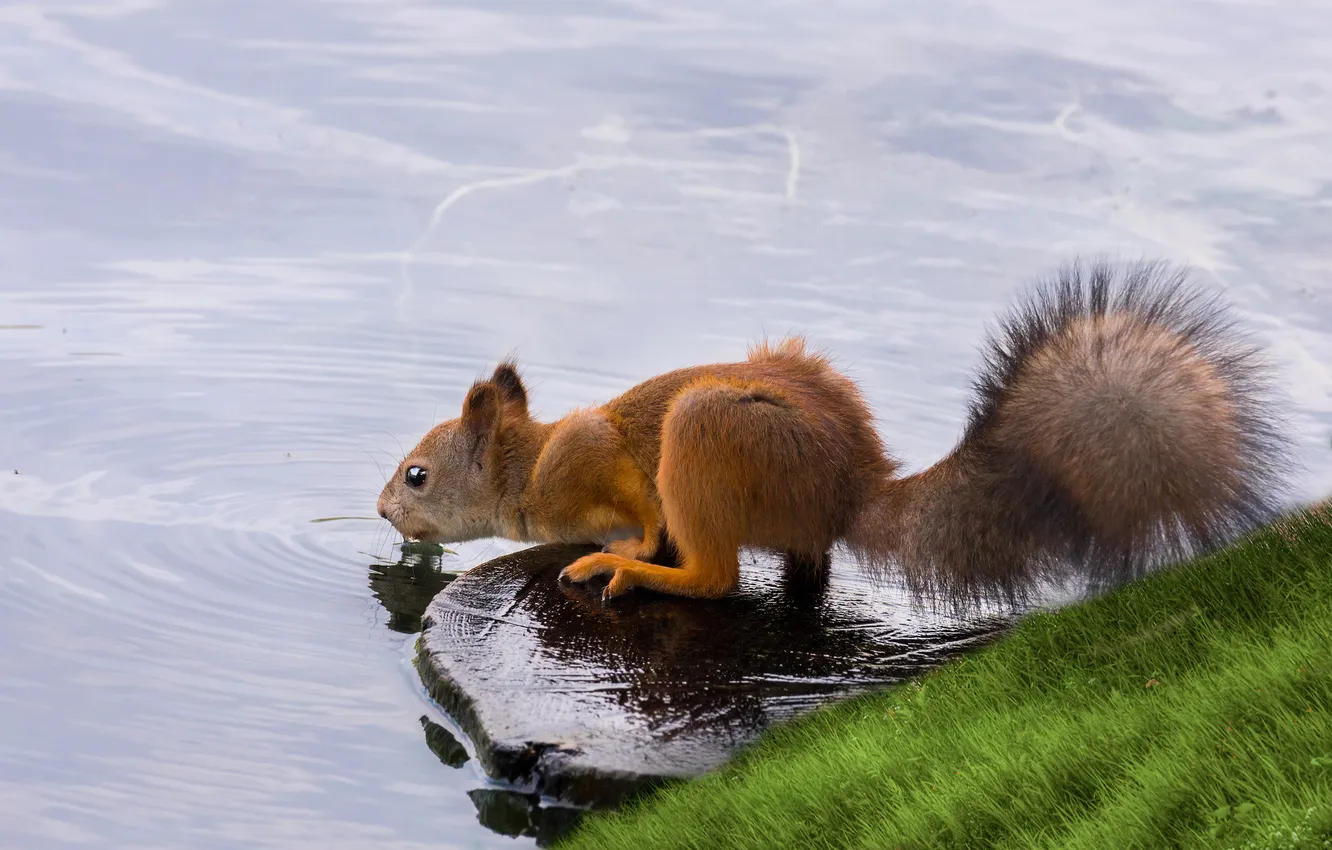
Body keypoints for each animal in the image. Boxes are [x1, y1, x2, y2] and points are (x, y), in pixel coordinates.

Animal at [376, 260, 1292, 606]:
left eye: (416, 474)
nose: (382, 512)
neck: (526, 471)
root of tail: (852, 489)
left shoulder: (591, 461)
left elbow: (637, 508)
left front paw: (626, 546)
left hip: (710, 436)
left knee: (715, 578)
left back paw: (634, 571)